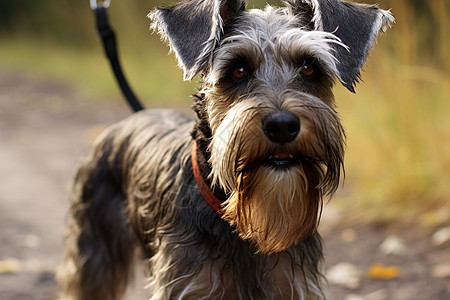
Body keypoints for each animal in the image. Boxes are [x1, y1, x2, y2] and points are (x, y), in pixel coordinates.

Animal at [57, 1, 394, 298]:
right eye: (238, 70)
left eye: (310, 68)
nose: (283, 125)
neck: (240, 223)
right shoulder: (191, 286)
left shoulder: (293, 285)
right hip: (94, 256)